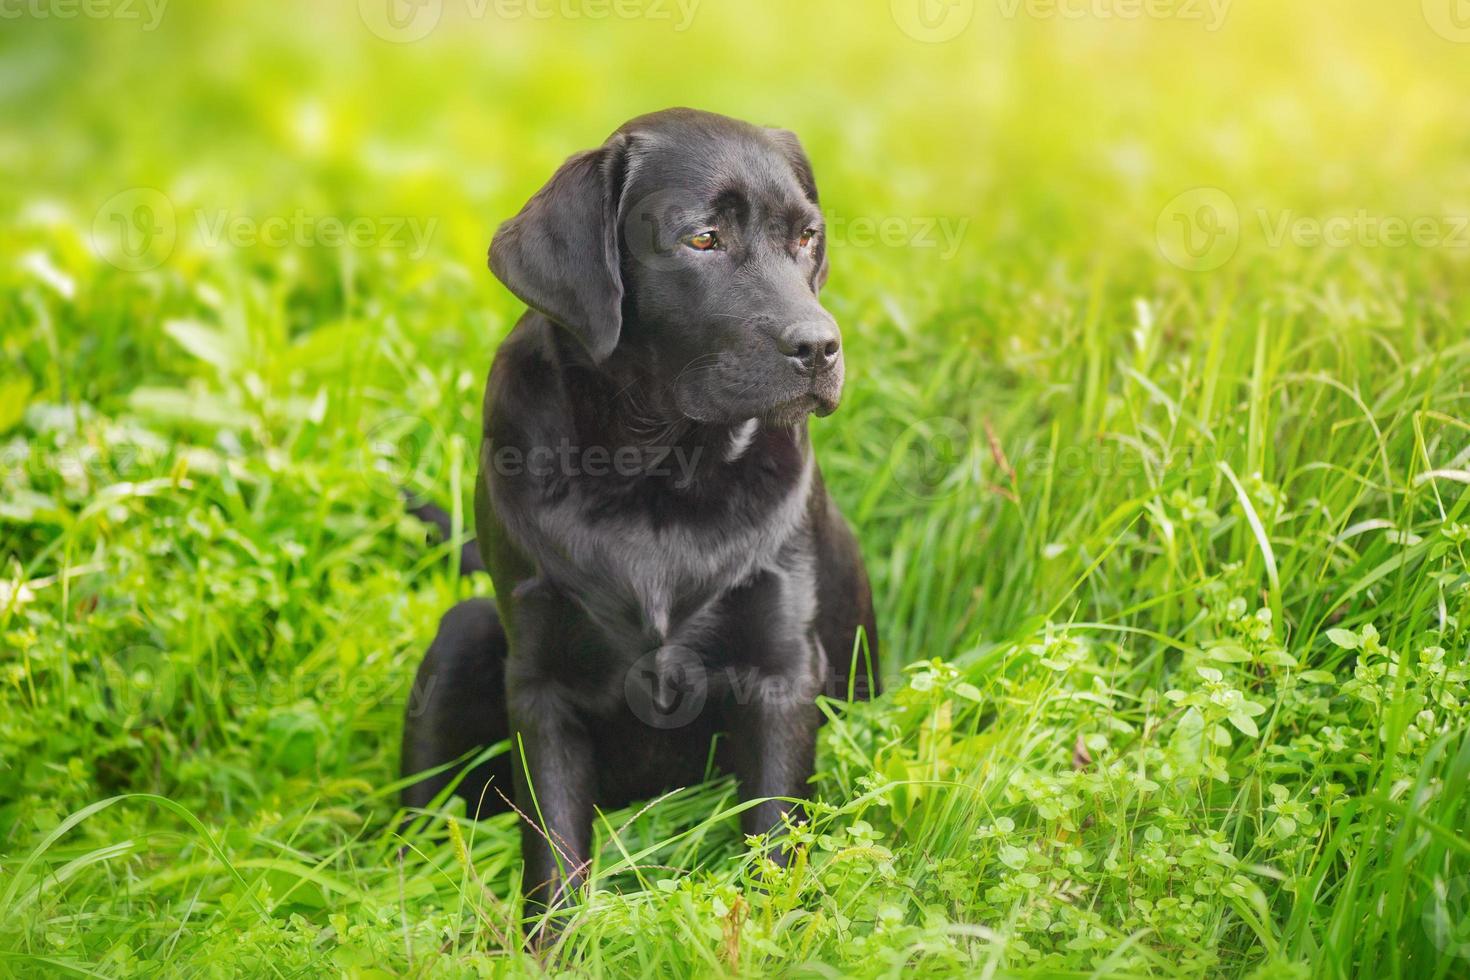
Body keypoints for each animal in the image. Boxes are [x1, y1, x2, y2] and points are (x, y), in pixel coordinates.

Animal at [402, 109, 876, 928]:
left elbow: (772, 835)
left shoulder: (782, 672)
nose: (820, 346)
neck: (656, 475)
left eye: (806, 237)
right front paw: (549, 946)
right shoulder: (540, 687)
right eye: (701, 239)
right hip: (464, 635)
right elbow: (554, 849)